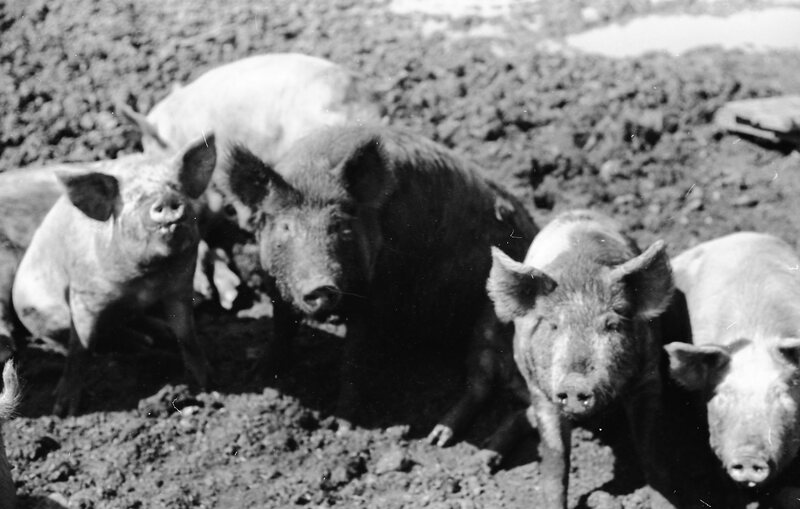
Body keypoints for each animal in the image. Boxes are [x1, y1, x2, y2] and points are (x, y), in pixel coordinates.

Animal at [11, 135, 217, 416]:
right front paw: (64, 411)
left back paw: (157, 335)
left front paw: (207, 383)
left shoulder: (182, 282)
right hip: (43, 311)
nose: (167, 200)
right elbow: (80, 348)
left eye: (176, 186)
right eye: (133, 198)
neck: (146, 279)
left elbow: (186, 333)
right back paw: (142, 342)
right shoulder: (83, 293)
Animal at [220, 125, 537, 440]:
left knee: (483, 378)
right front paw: (256, 374)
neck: (313, 169)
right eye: (286, 227)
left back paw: (439, 436)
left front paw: (344, 428)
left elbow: (353, 358)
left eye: (339, 226)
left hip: (492, 317)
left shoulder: (380, 292)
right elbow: (281, 327)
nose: (322, 286)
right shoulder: (275, 282)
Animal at [487, 210, 675, 508]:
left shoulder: (649, 374)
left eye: (611, 325)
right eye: (553, 325)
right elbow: (555, 459)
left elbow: (653, 453)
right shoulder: (539, 389)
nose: (575, 383)